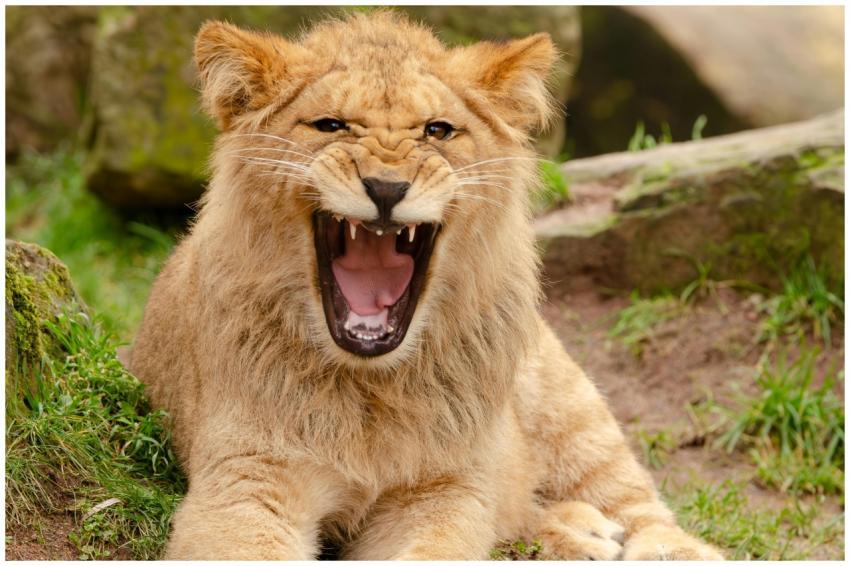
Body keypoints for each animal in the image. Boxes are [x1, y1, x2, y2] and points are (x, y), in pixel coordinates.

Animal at [129, 11, 723, 560]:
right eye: (330, 125)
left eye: (437, 130)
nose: (386, 187)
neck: (368, 388)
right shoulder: (248, 476)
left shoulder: (443, 489)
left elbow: (448, 537)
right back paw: (579, 531)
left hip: (571, 405)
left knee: (629, 495)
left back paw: (663, 547)